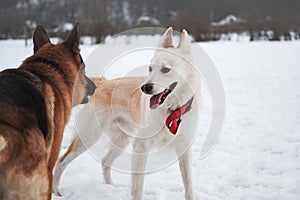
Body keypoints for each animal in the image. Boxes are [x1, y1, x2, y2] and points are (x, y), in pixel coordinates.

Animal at [53, 27, 202, 199]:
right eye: (150, 68)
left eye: (166, 69)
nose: (145, 88)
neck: (171, 109)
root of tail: (103, 83)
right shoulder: (140, 147)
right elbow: (138, 187)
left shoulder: (185, 148)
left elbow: (189, 185)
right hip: (88, 137)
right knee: (61, 161)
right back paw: (56, 191)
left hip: (121, 140)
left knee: (105, 162)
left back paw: (111, 187)